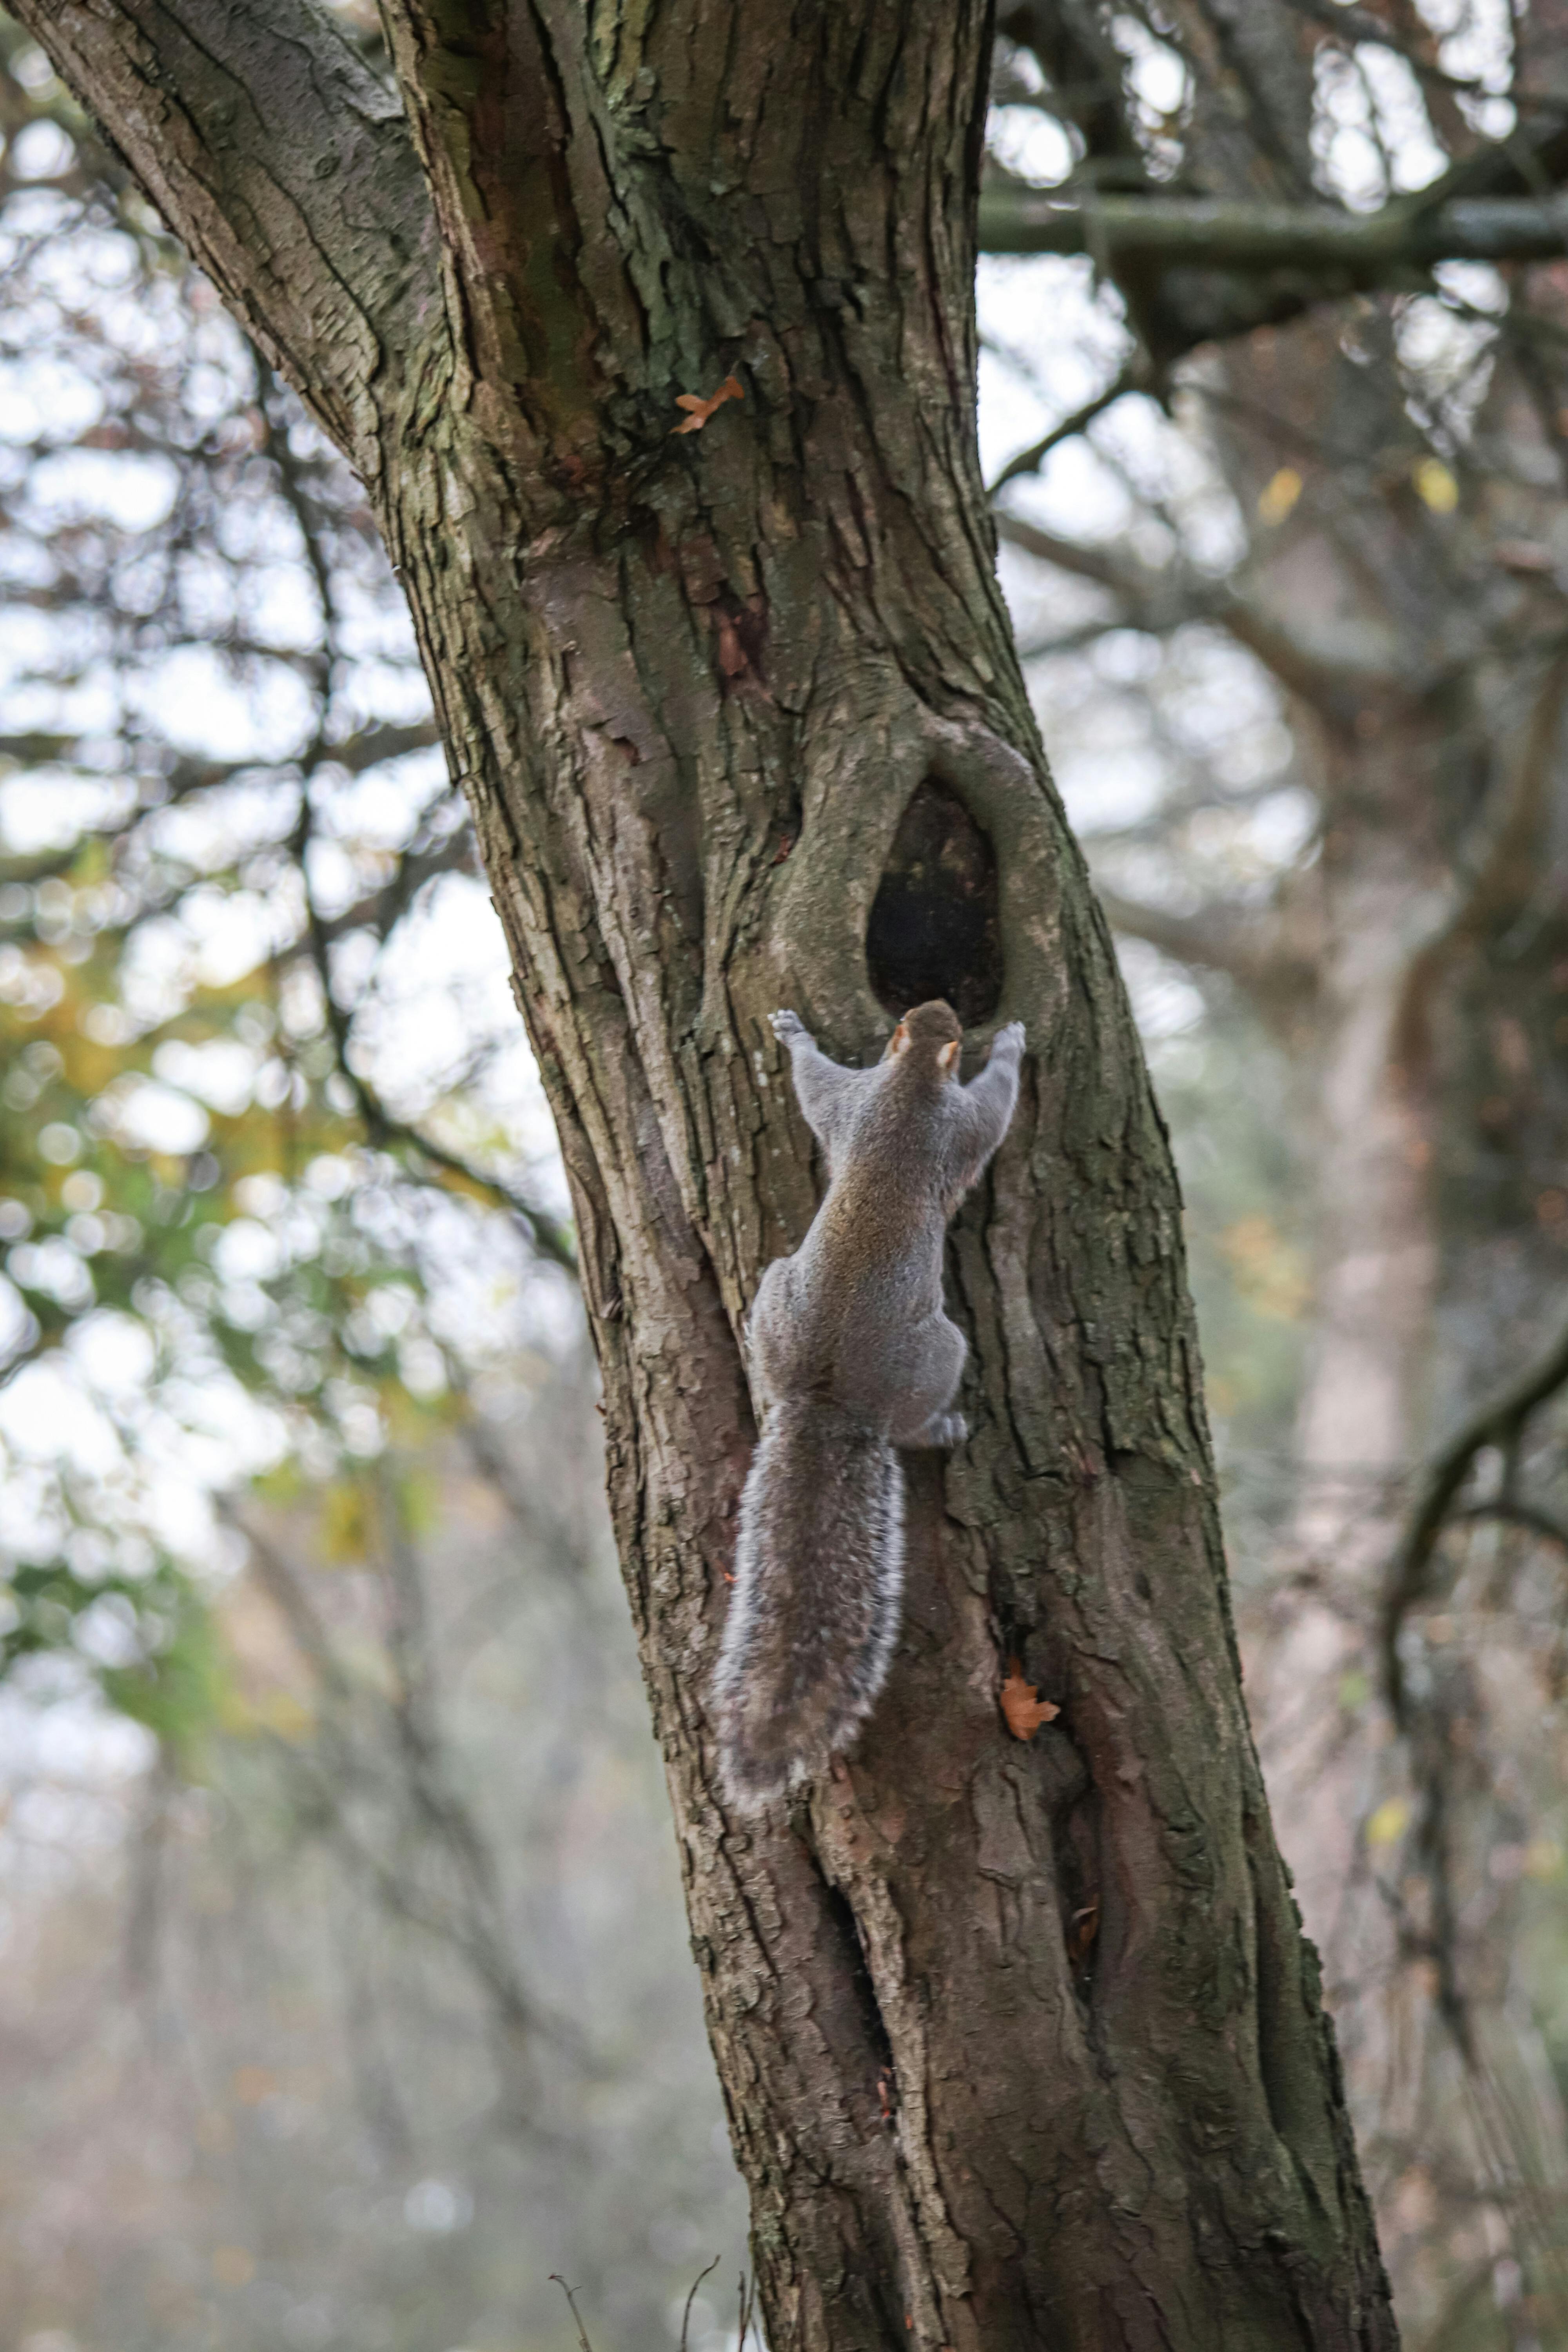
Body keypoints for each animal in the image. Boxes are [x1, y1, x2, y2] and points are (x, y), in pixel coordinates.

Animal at [714, 998, 1025, 1812]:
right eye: (939, 1020)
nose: (945, 1012)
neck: (911, 1081)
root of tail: (830, 1398)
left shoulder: (855, 1106)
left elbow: (817, 1090)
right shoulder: (947, 1120)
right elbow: (996, 1106)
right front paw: (1013, 1046)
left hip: (776, 1291)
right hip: (940, 1350)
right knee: (914, 1424)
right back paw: (941, 1426)